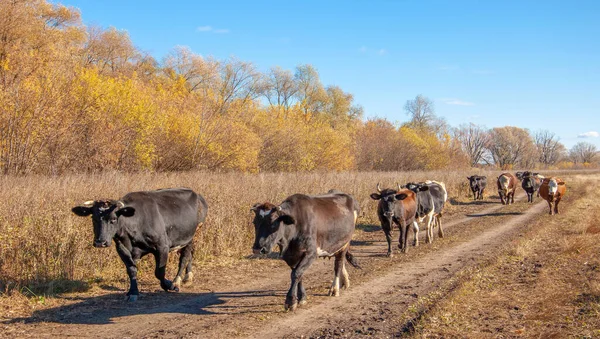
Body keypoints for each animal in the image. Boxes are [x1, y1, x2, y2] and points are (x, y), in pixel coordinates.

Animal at [71, 189, 209, 302]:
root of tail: (197, 195)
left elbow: (159, 272)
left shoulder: (162, 246)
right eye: (93, 218)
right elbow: (132, 269)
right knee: (189, 255)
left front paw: (169, 285)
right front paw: (133, 292)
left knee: (185, 257)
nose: (100, 242)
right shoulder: (122, 248)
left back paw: (177, 281)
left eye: (113, 219)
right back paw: (188, 277)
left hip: (192, 235)